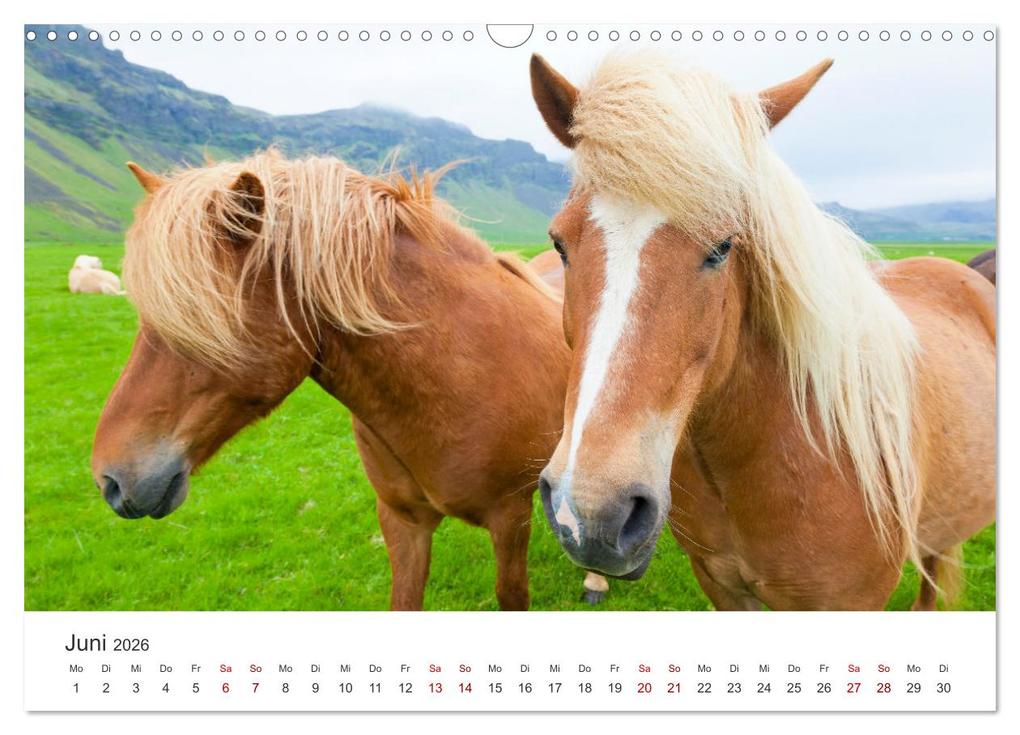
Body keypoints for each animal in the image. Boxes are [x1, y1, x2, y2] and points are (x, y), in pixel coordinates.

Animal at [90, 152, 609, 610]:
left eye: (200, 318)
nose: (110, 479)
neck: (455, 378)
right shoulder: (403, 521)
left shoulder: (509, 518)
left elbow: (511, 597)